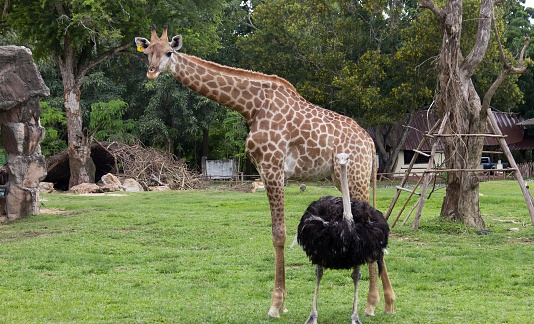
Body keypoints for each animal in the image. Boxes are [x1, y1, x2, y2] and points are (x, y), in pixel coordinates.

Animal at [134, 25, 394, 318]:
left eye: (169, 52)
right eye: (147, 52)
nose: (152, 72)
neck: (252, 106)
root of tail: (370, 142)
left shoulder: (272, 168)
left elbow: (278, 234)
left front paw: (275, 304)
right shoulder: (267, 170)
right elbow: (276, 233)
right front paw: (282, 302)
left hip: (356, 175)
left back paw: (375, 302)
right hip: (341, 177)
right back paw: (383, 302)